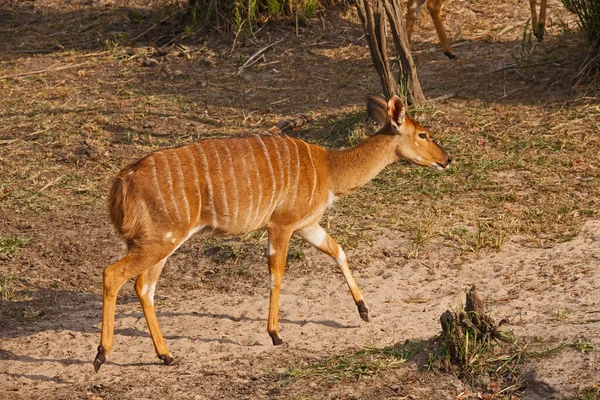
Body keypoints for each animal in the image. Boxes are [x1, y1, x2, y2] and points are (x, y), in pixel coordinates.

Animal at [92, 94, 450, 372]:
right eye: (423, 134)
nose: (446, 159)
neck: (328, 169)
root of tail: (121, 182)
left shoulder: (307, 224)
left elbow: (337, 249)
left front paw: (363, 310)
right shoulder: (282, 223)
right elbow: (277, 274)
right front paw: (276, 334)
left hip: (160, 242)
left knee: (144, 287)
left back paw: (166, 355)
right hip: (160, 239)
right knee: (113, 274)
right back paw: (101, 355)